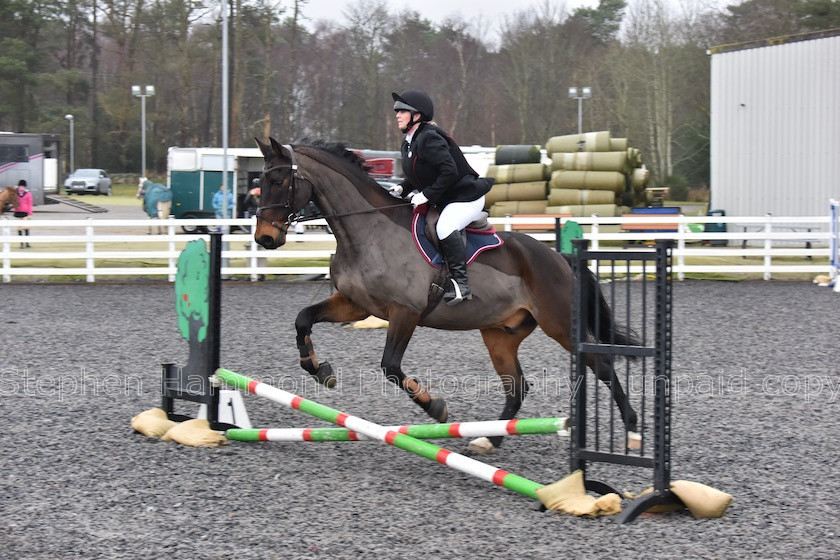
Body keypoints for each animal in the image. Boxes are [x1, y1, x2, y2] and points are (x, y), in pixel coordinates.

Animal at [253, 138, 640, 452]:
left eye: (278, 181)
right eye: (261, 182)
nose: (264, 238)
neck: (364, 231)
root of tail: (559, 257)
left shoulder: (405, 312)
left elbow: (390, 367)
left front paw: (435, 406)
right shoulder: (355, 305)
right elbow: (303, 319)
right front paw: (318, 368)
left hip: (560, 325)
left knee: (603, 366)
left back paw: (633, 431)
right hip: (500, 334)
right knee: (517, 387)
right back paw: (490, 439)